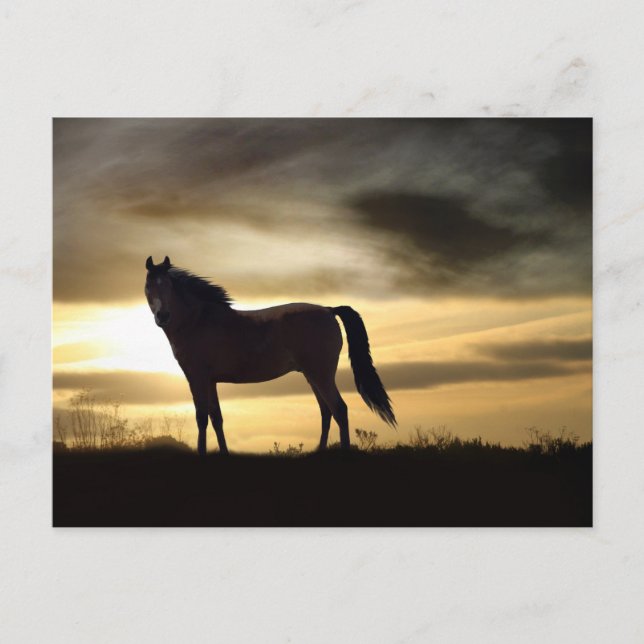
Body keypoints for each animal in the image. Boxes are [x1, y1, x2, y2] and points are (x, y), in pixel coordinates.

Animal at [144, 256, 396, 455]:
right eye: (148, 286)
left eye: (168, 285)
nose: (163, 316)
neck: (198, 321)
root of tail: (328, 310)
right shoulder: (210, 381)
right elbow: (217, 418)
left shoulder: (197, 378)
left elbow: (201, 417)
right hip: (312, 376)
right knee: (326, 412)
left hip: (321, 375)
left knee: (339, 410)